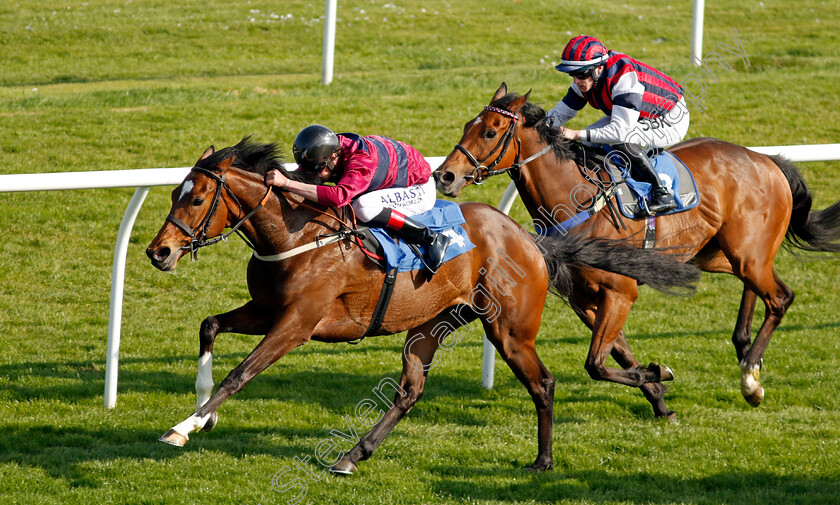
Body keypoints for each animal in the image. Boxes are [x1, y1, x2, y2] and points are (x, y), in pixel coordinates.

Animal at [148, 136, 700, 470]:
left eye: (196, 199)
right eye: (174, 193)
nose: (159, 252)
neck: (294, 235)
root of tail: (528, 238)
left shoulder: (297, 322)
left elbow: (240, 374)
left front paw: (183, 428)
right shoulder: (266, 310)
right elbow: (209, 326)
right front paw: (202, 413)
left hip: (508, 328)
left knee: (543, 382)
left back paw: (546, 458)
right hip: (431, 324)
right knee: (410, 390)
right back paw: (353, 454)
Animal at [434, 82, 840, 418]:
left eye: (490, 131)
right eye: (467, 125)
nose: (445, 176)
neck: (580, 200)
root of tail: (767, 160)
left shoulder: (621, 291)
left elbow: (596, 364)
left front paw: (658, 374)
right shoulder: (585, 299)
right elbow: (619, 354)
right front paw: (659, 397)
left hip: (746, 254)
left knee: (780, 297)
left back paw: (751, 379)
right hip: (718, 254)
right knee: (756, 288)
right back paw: (743, 351)